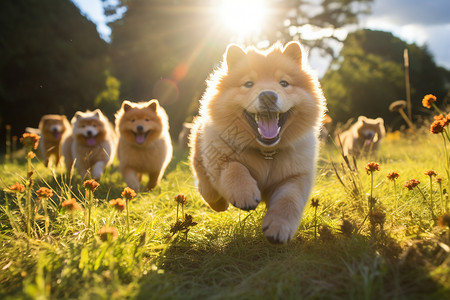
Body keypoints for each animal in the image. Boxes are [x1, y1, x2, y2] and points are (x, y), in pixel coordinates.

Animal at [188, 41, 326, 244]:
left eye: (284, 83)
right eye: (248, 84)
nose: (268, 95)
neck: (266, 153)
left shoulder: (296, 177)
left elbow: (289, 200)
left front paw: (279, 227)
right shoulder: (220, 160)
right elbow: (234, 168)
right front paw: (244, 193)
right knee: (207, 187)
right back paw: (217, 201)